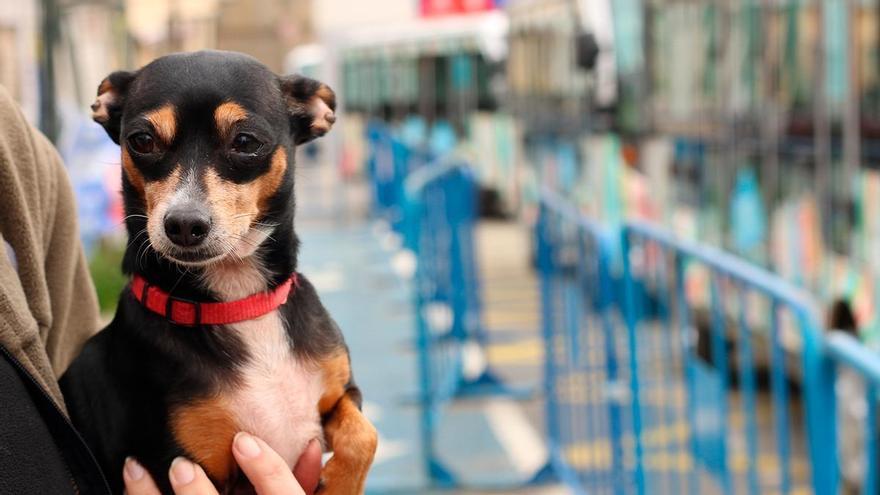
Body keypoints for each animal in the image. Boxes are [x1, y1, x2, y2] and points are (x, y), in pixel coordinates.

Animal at [60, 51, 376, 495]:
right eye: (142, 141)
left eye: (245, 142)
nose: (183, 224)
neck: (238, 303)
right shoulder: (186, 465)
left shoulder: (343, 393)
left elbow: (364, 435)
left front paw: (339, 484)